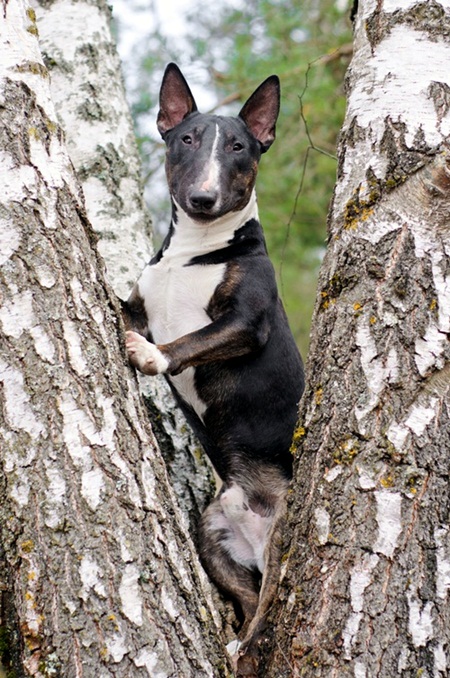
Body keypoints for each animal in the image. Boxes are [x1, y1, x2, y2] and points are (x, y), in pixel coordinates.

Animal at [125, 65, 304, 676]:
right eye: (186, 139)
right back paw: (233, 643)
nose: (203, 198)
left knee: (267, 607)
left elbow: (191, 341)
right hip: (213, 534)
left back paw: (244, 647)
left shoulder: (247, 323)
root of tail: (254, 515)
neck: (196, 251)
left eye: (239, 148)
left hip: (281, 541)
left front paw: (151, 357)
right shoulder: (140, 305)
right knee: (246, 600)